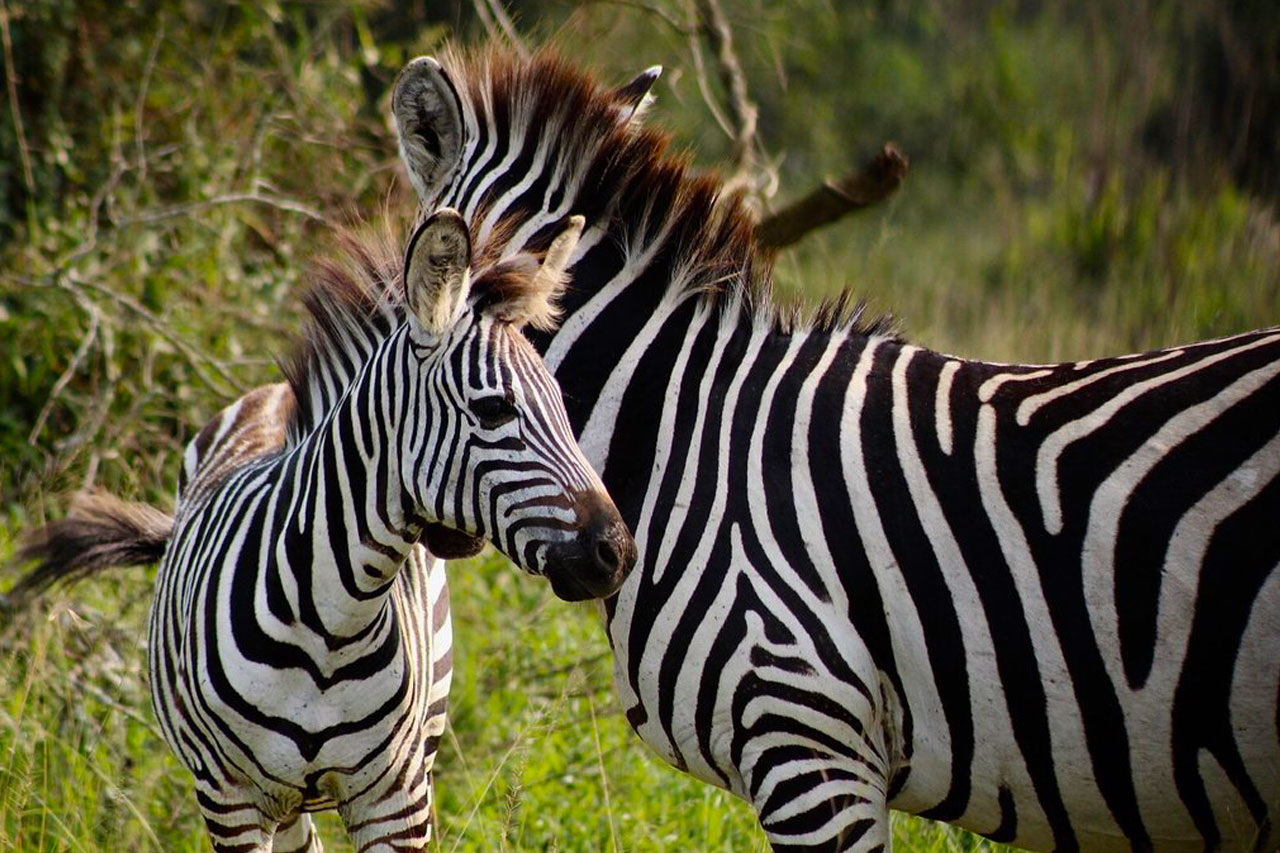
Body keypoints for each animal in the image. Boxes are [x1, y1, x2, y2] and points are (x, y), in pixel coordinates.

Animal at [14, 208, 637, 852]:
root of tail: (270, 394)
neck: (331, 626)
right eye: (494, 409)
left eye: (563, 404)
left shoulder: (397, 801)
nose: (618, 552)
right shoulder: (232, 801)